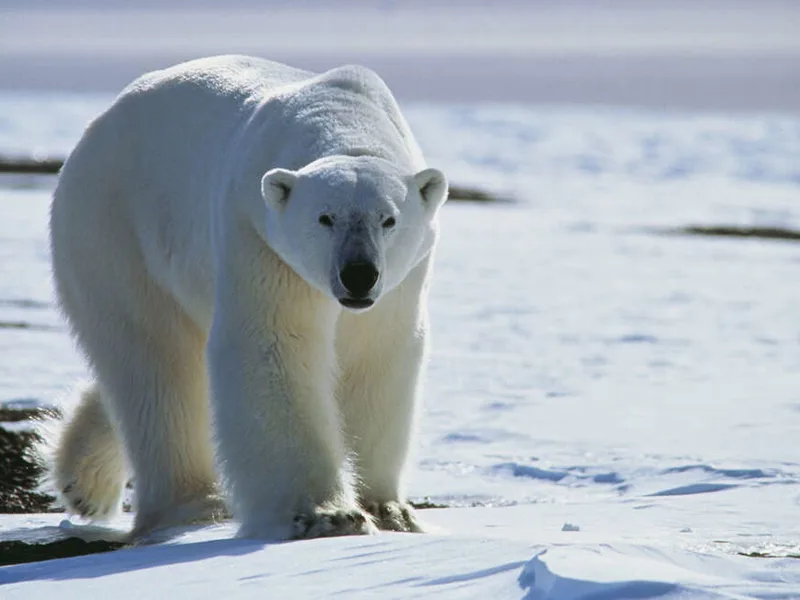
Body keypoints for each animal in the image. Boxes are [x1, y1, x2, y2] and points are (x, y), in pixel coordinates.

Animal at [45, 55, 448, 541]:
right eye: (325, 217)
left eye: (388, 220)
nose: (358, 275)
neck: (343, 114)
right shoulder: (258, 237)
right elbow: (273, 347)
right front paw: (327, 515)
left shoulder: (400, 283)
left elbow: (377, 356)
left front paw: (388, 509)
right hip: (114, 228)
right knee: (155, 364)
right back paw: (193, 504)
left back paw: (83, 479)